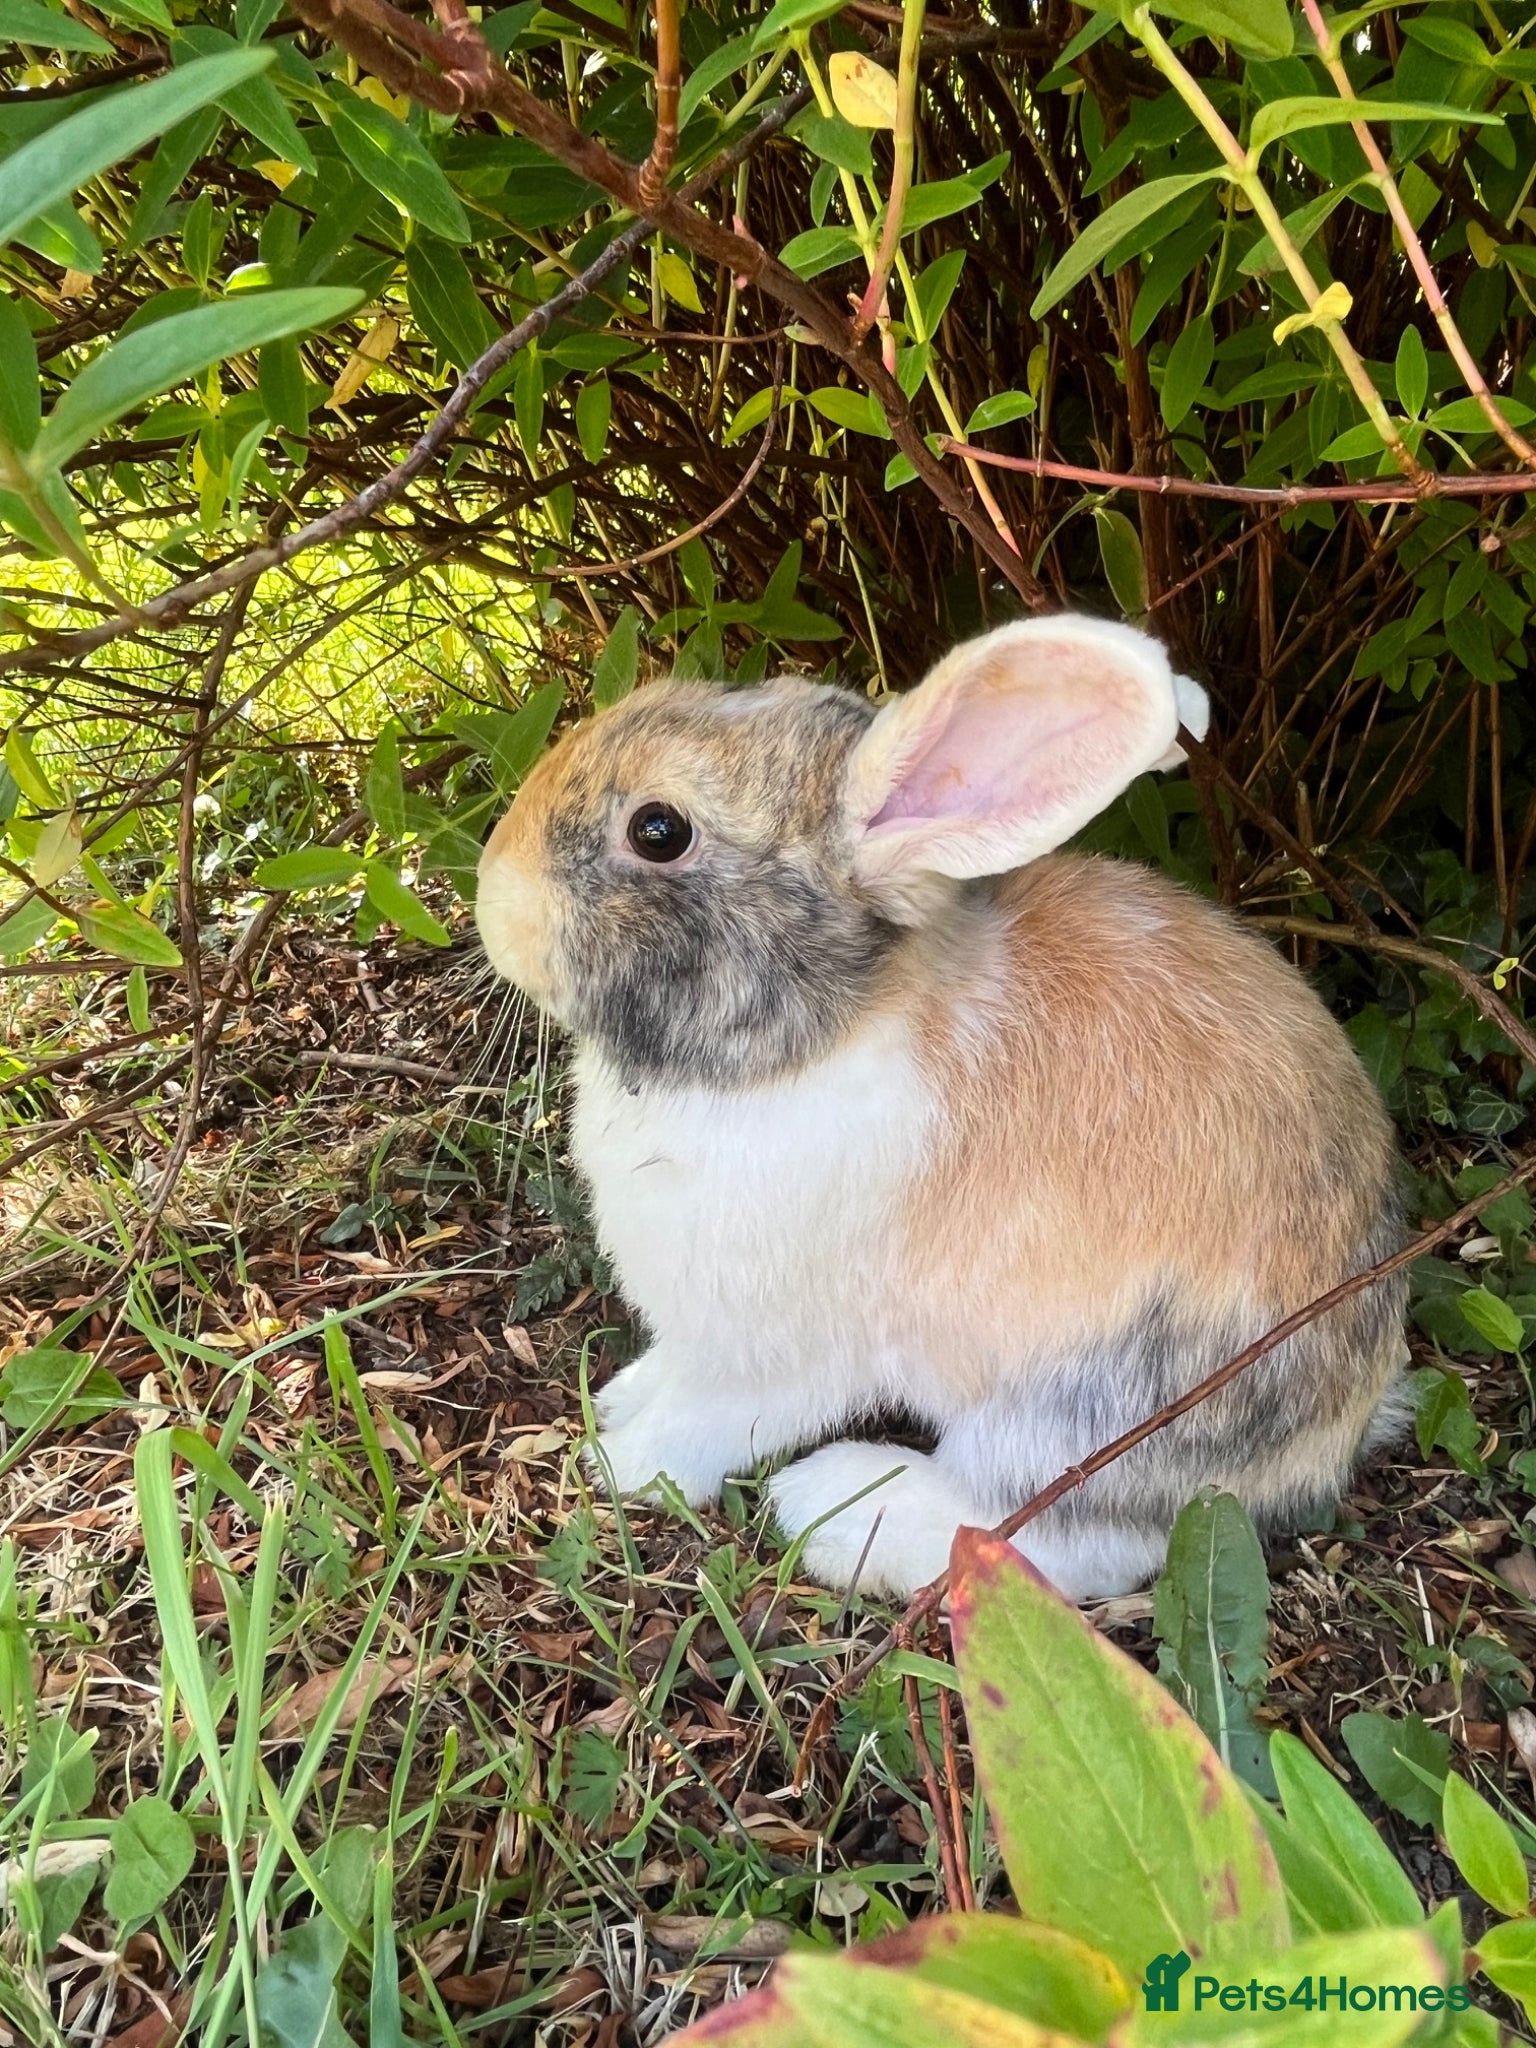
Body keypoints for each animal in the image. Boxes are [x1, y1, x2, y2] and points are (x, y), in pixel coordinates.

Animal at [475, 615, 1407, 1603]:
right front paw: (620, 1399)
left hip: (1086, 1414)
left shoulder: (769, 1358)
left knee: (1055, 1532)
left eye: (659, 830)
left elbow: (705, 1423)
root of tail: (1350, 1414)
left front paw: (620, 1463)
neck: (820, 1039)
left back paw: (836, 1509)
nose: (492, 892)